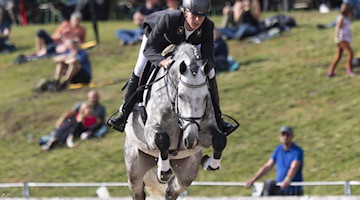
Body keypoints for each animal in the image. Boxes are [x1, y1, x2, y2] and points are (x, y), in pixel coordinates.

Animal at [125, 43, 224, 199]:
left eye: (205, 96)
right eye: (181, 95)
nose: (191, 140)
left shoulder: (204, 129)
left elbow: (220, 140)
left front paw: (210, 163)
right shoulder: (151, 129)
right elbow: (162, 140)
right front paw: (164, 172)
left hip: (187, 171)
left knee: (172, 190)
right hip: (135, 164)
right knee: (138, 189)